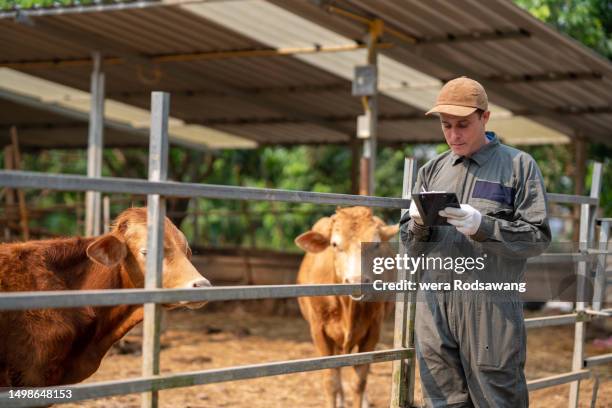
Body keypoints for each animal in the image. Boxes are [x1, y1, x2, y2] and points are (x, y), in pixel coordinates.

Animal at [296, 207, 400, 408]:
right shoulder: (318, 330)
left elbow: (359, 381)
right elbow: (331, 381)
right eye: (335, 244)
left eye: (376, 244)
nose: (356, 281)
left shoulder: (373, 330)